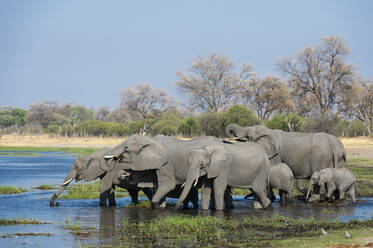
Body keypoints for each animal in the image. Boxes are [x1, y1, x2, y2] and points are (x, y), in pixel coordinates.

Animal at [104, 135, 232, 208]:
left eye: (126, 148)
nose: (121, 174)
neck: (150, 140)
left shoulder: (166, 164)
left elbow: (167, 186)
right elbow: (158, 187)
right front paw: (162, 206)